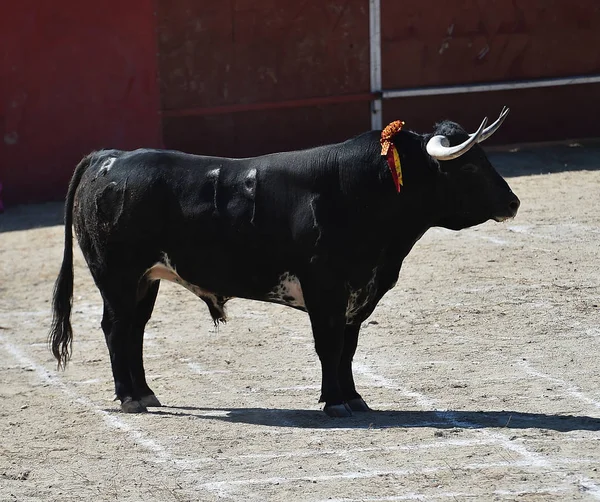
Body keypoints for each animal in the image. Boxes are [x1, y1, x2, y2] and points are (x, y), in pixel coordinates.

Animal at [50, 113, 520, 416]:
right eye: (470, 166)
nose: (513, 202)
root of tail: (108, 157)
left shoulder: (357, 293)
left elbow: (348, 347)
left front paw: (354, 398)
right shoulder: (325, 288)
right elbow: (329, 345)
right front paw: (334, 401)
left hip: (146, 280)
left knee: (134, 331)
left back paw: (146, 393)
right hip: (116, 276)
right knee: (115, 329)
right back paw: (129, 398)